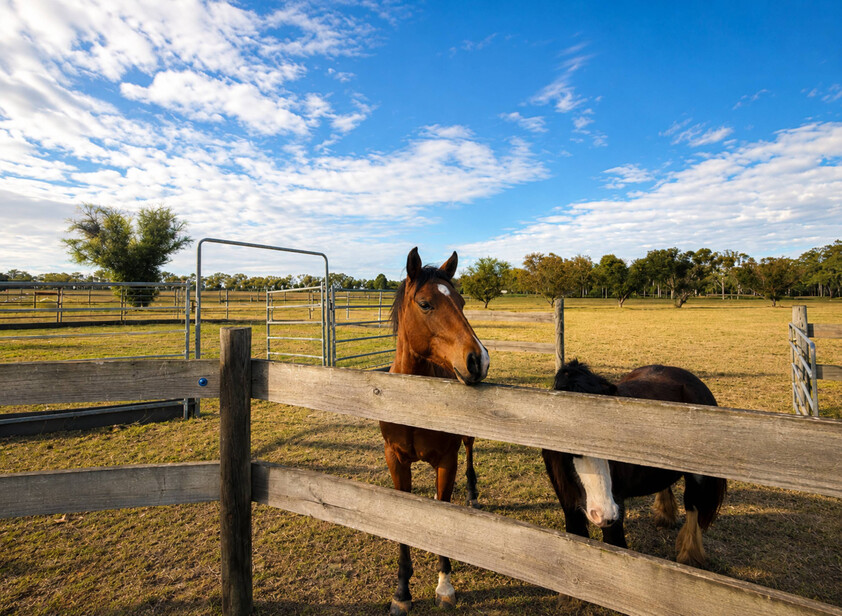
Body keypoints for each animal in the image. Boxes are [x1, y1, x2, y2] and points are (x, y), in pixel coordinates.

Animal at [381, 247, 489, 615]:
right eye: (426, 304)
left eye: (462, 301)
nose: (478, 360)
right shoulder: (396, 461)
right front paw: (401, 592)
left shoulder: (447, 461)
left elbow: (443, 514)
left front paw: (445, 585)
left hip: (465, 442)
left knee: (470, 452)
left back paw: (472, 495)